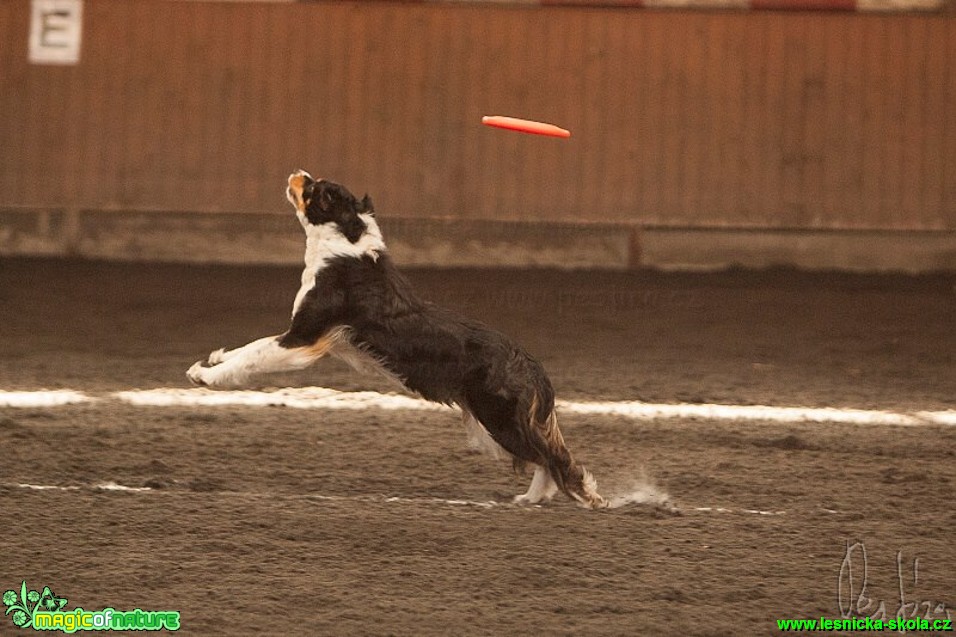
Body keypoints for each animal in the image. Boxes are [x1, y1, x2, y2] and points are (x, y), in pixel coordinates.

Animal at [187, 170, 604, 506]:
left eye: (316, 188)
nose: (298, 172)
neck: (345, 246)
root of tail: (531, 364)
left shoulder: (304, 338)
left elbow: (254, 354)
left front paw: (205, 376)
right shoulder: (302, 336)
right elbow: (248, 347)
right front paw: (212, 360)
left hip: (498, 420)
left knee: (556, 460)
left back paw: (586, 500)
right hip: (490, 426)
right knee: (545, 459)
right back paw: (530, 499)